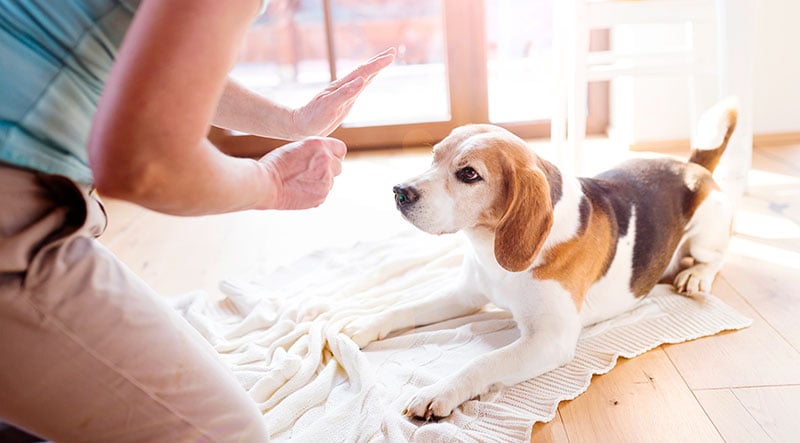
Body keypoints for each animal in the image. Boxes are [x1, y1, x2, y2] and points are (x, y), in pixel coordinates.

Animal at [344, 99, 736, 422]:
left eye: (469, 174)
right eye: (434, 157)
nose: (399, 192)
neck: (491, 251)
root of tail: (691, 166)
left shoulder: (550, 338)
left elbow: (482, 362)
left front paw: (439, 391)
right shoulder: (465, 295)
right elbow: (402, 309)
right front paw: (361, 325)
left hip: (706, 233)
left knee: (715, 258)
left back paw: (697, 275)